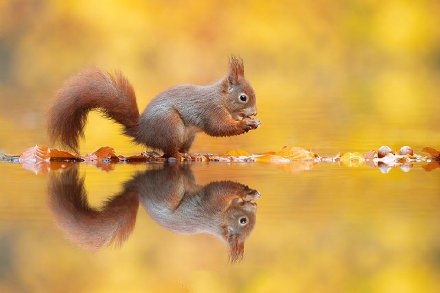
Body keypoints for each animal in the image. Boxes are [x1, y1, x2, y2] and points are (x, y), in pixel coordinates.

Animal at [48, 56, 260, 157]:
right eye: (243, 97)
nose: (255, 112)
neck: (220, 97)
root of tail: (142, 131)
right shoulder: (211, 109)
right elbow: (218, 127)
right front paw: (245, 124)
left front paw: (250, 121)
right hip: (170, 125)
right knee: (169, 152)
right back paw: (182, 157)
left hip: (188, 136)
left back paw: (193, 154)